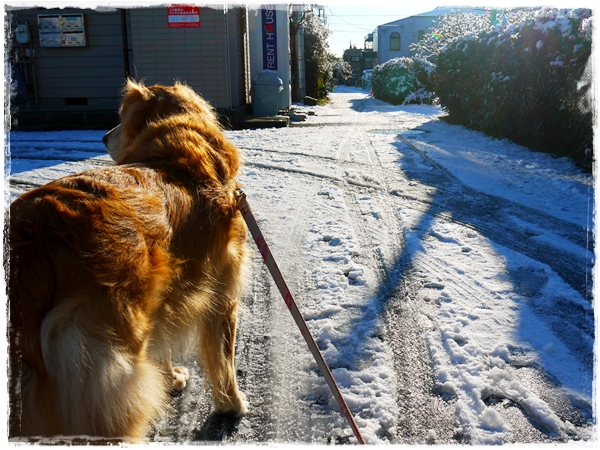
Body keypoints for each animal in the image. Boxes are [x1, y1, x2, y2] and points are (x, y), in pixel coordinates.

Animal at [7, 80, 246, 440]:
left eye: (120, 120)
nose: (104, 137)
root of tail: (36, 236)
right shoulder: (222, 295)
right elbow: (223, 359)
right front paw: (232, 404)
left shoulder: (163, 301)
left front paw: (172, 378)